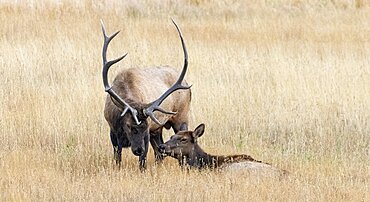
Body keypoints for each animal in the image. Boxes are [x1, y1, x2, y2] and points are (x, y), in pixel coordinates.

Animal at [102, 19, 191, 170]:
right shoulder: (112, 131)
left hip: (182, 117)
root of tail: (186, 82)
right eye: (129, 126)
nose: (138, 149)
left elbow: (142, 162)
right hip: (158, 129)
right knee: (160, 152)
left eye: (145, 127)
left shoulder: (148, 133)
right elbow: (117, 158)